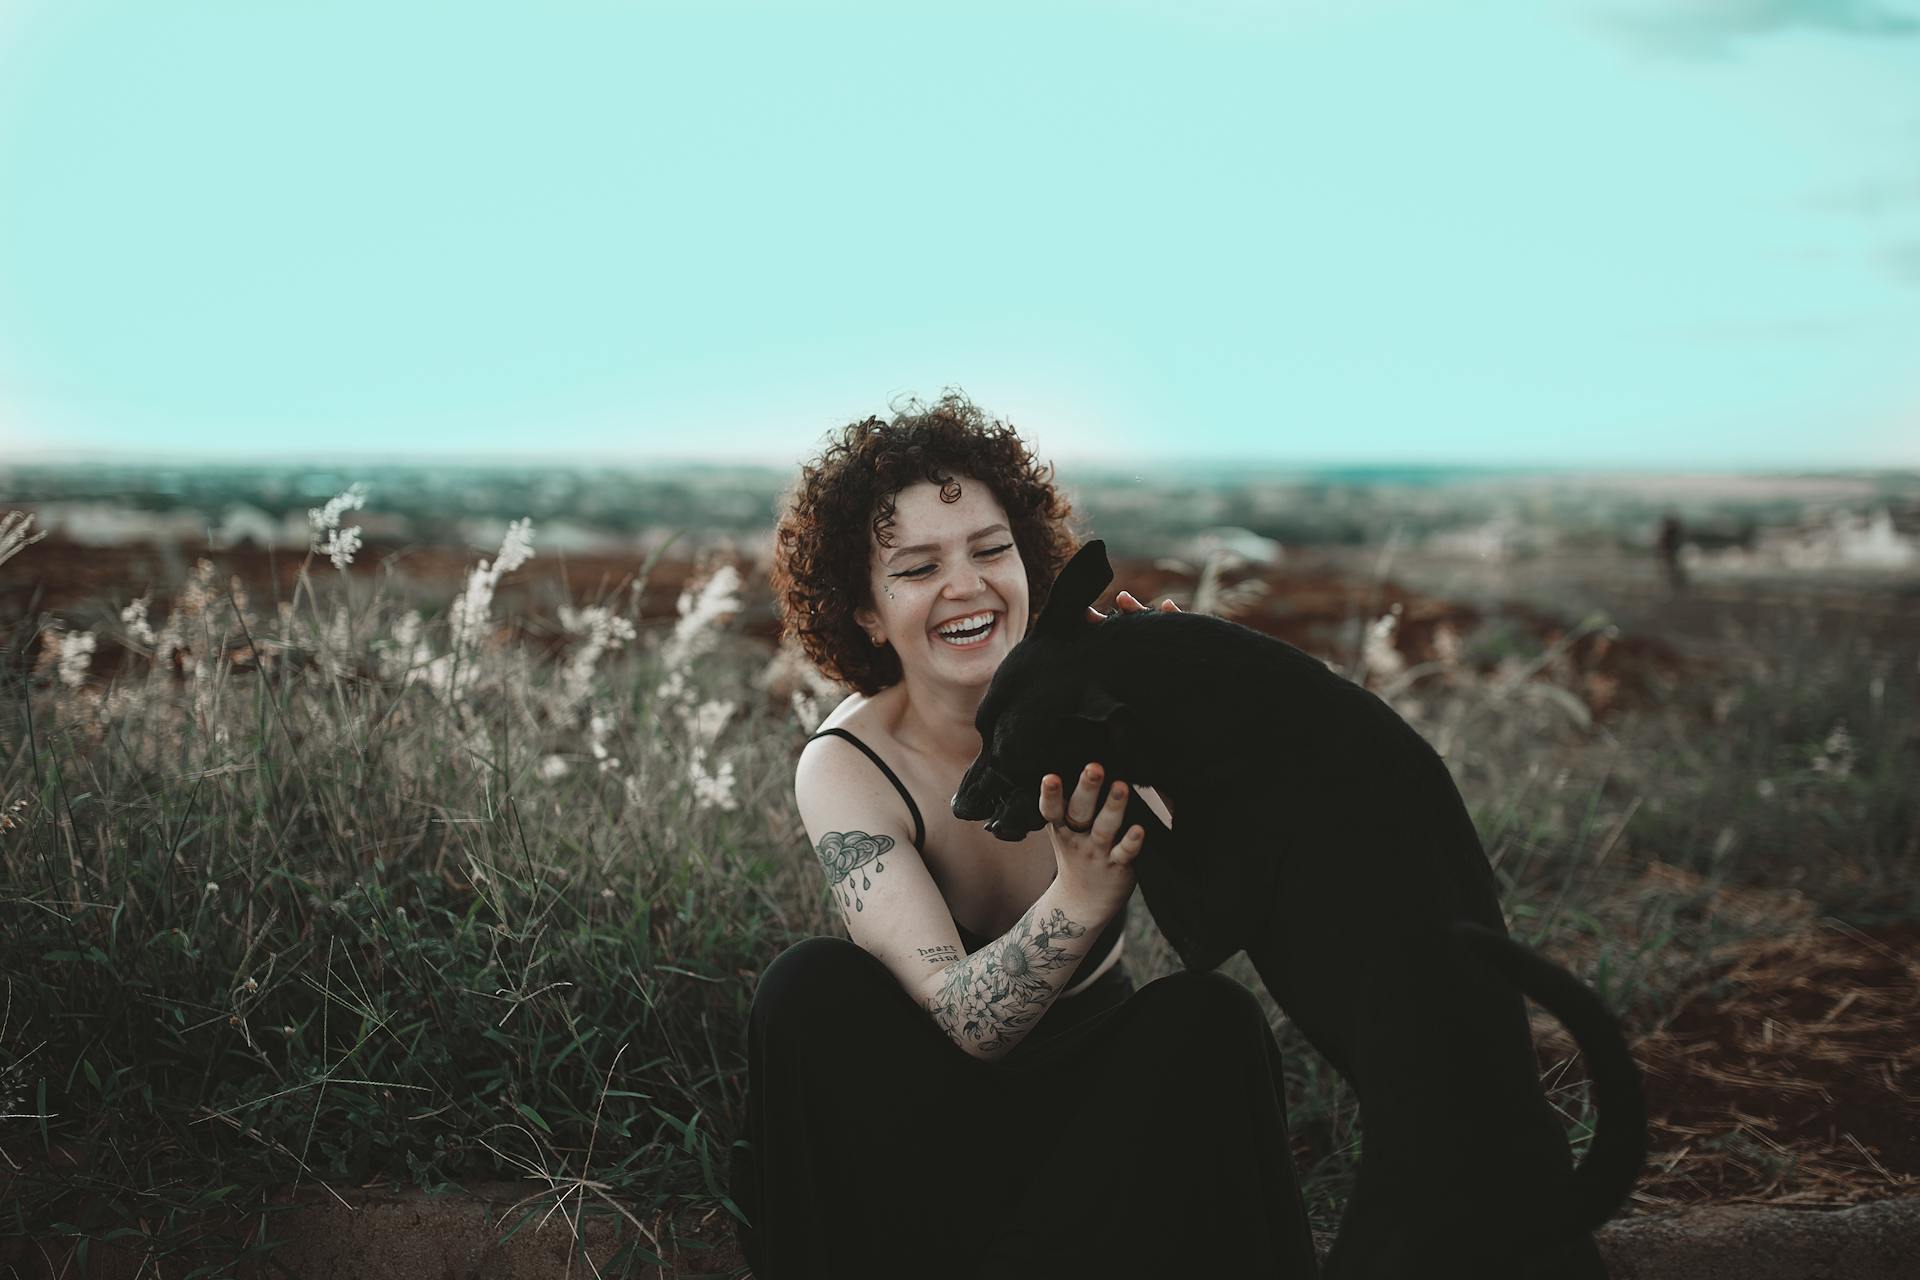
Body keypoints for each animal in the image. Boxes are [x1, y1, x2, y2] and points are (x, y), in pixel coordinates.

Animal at [952, 541, 1643, 1280]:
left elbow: (1128, 799)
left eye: (1007, 755)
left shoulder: (1206, 921)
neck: (1218, 698)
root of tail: (1542, 1204)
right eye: (977, 731)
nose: (959, 806)